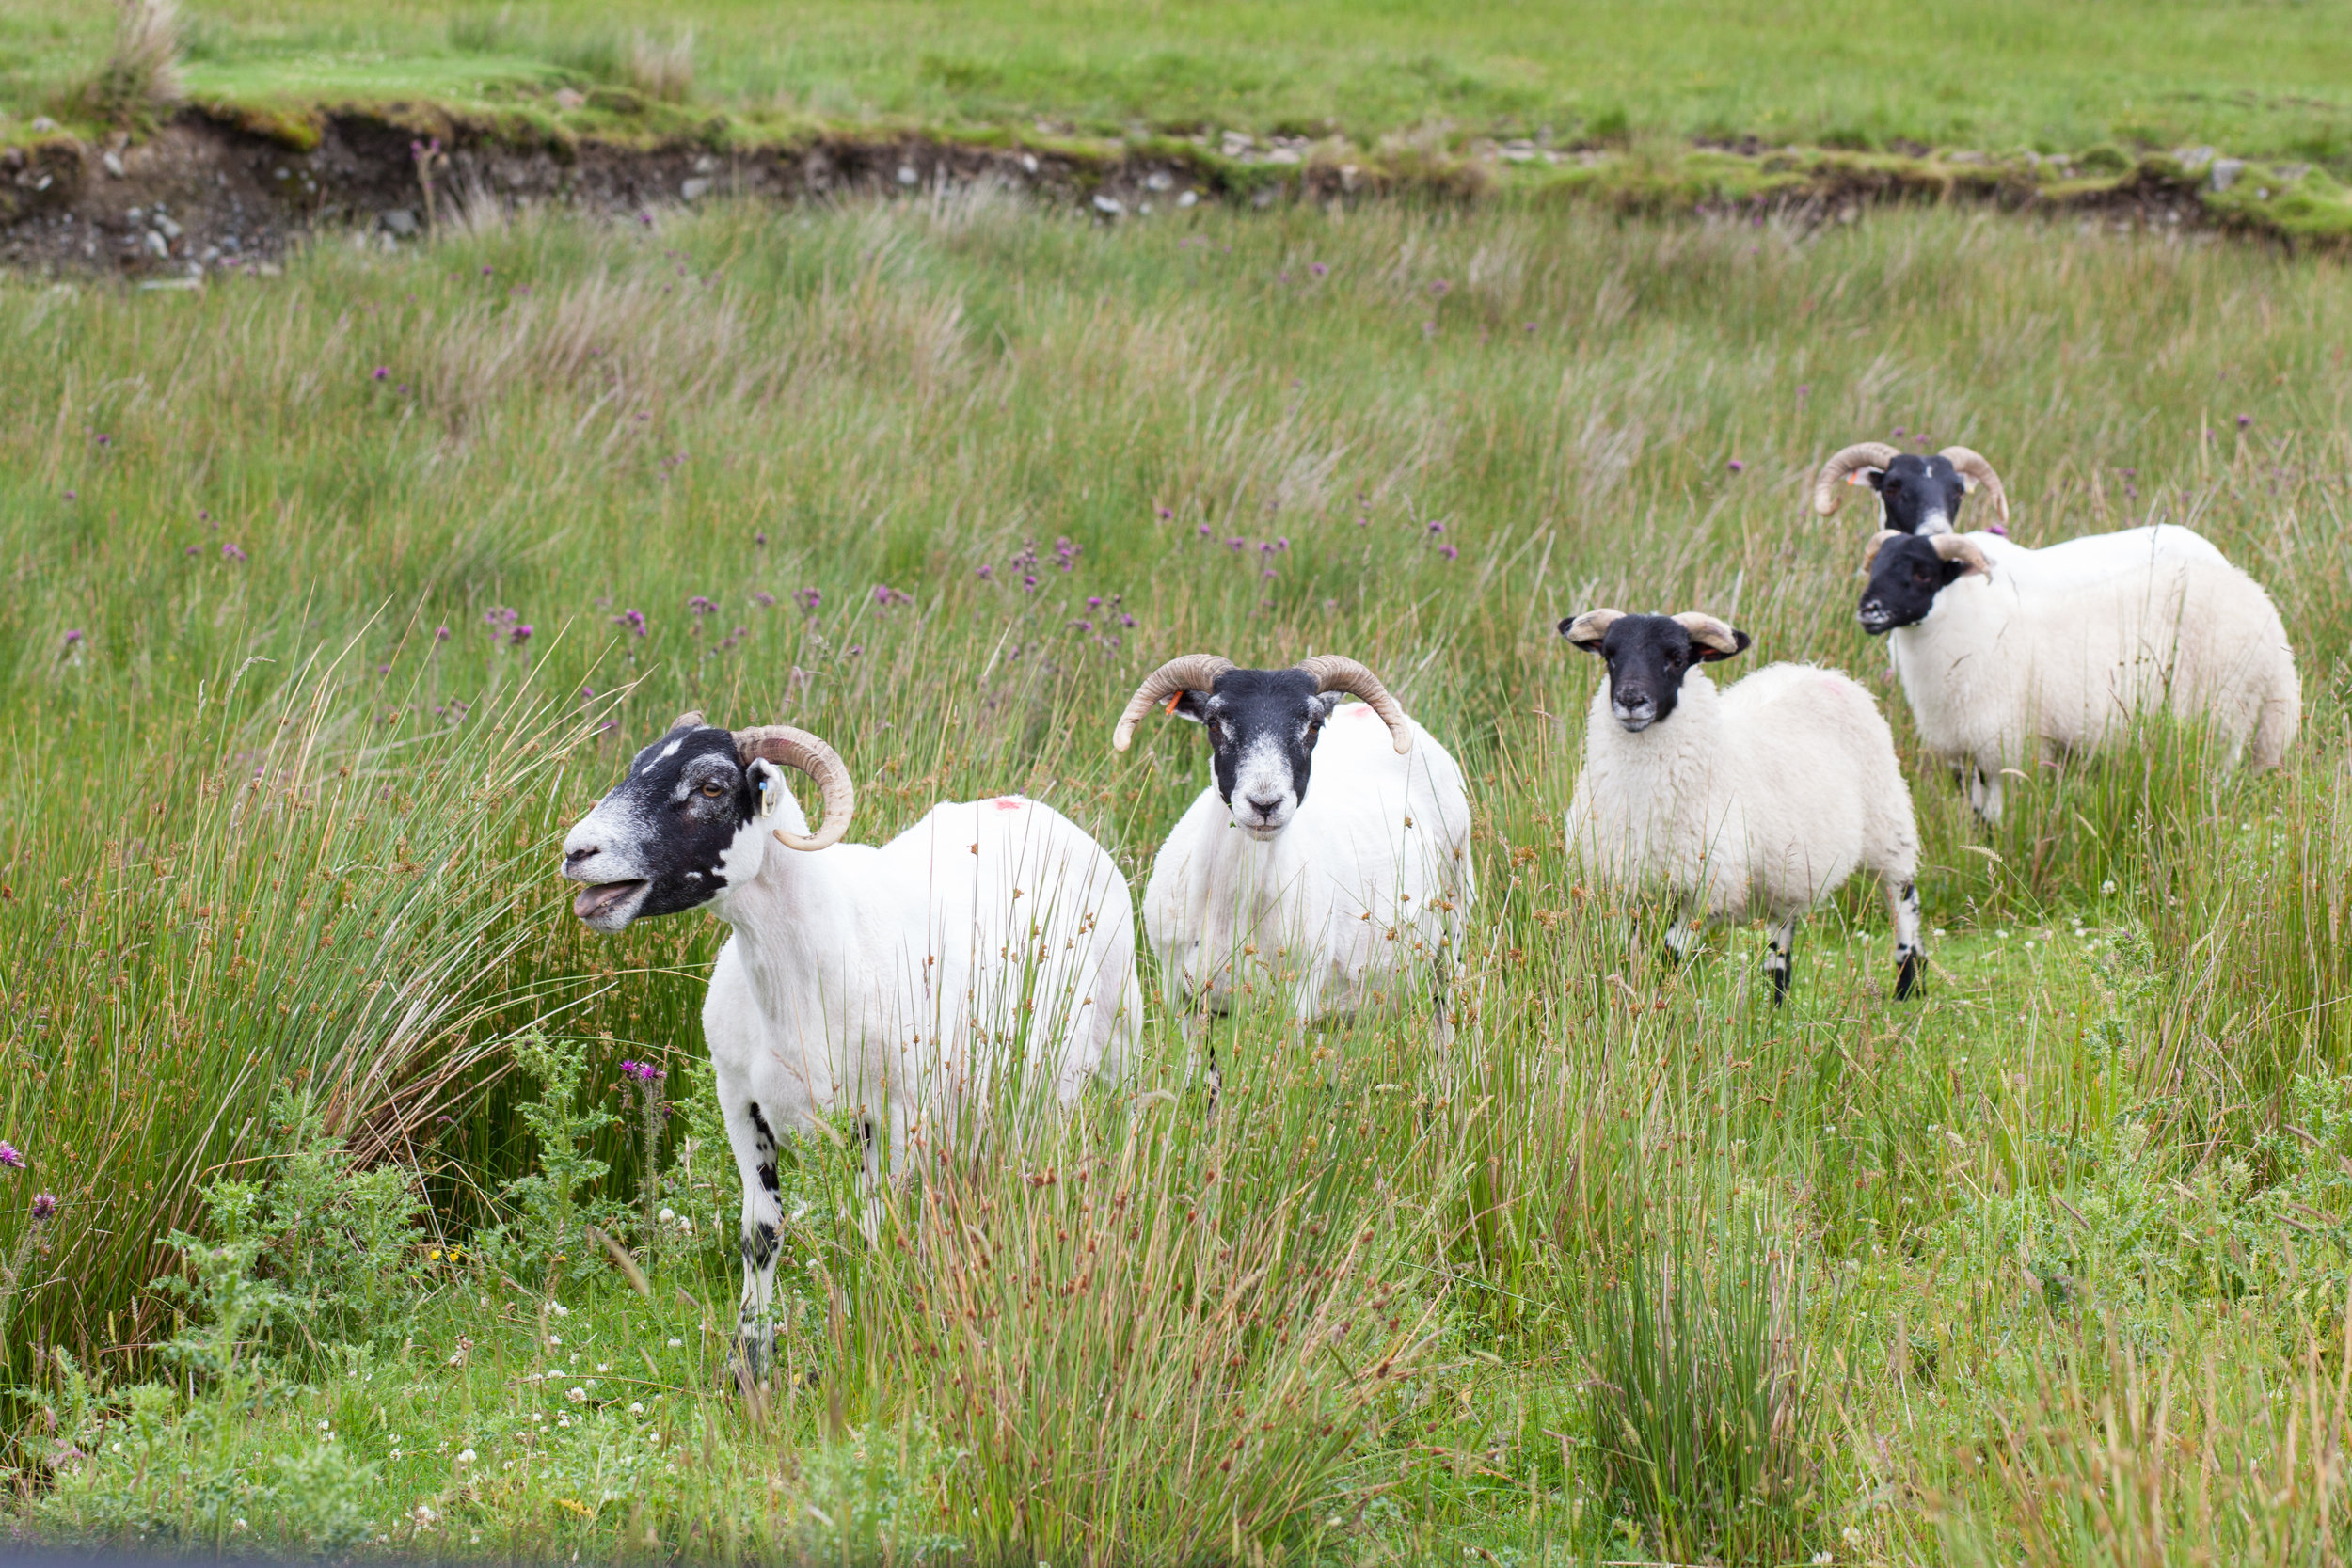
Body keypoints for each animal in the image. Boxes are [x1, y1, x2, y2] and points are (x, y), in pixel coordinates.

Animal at [552, 714, 1138, 1382]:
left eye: (711, 787)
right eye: (636, 765)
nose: (576, 853)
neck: (808, 967)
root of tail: (1025, 804)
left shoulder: (897, 1115)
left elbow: (872, 1230)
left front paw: (857, 1340)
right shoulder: (740, 1102)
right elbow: (761, 1234)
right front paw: (748, 1363)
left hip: (1114, 1046)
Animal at [1115, 648, 1468, 1053]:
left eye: (1314, 726)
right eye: (1213, 723)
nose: (1264, 804)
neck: (1229, 912)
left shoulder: (1297, 997)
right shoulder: (1183, 996)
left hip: (1455, 928)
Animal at [1552, 606, 1919, 1001]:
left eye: (1677, 659)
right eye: (1610, 656)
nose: (1632, 701)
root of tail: (1821, 671)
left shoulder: (1706, 890)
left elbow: (1669, 956)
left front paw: (1658, 1002)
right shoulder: (1615, 886)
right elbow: (1620, 953)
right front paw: (1622, 997)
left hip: (1887, 823)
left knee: (1903, 896)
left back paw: (1909, 983)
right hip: (1785, 869)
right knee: (1782, 933)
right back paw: (1778, 1000)